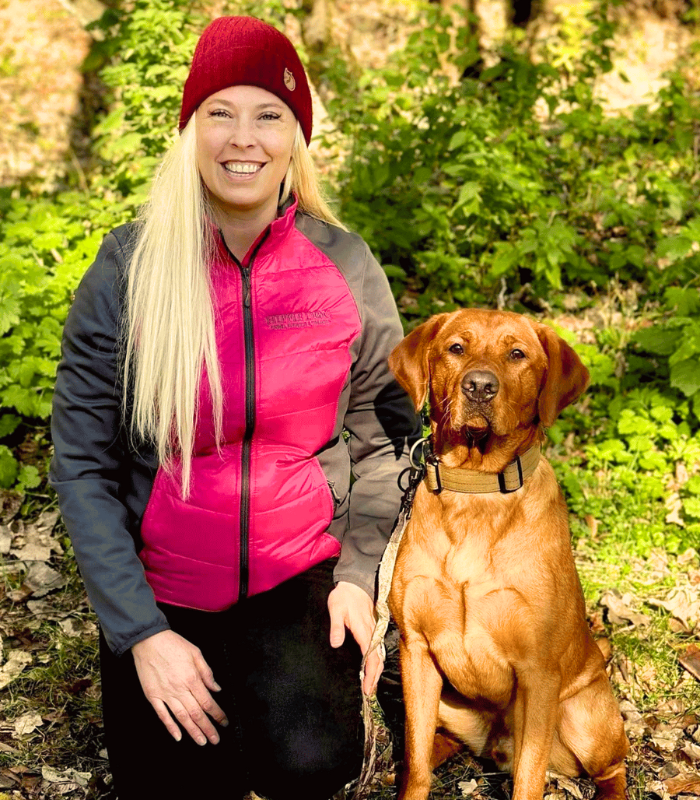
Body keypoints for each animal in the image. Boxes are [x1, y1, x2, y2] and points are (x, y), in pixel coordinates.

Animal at [387, 309, 628, 800]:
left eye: (517, 354)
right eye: (456, 348)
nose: (479, 386)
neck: (476, 489)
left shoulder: (538, 673)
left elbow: (528, 777)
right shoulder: (415, 649)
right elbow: (416, 762)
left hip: (586, 717)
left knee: (614, 767)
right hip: (445, 702)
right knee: (433, 744)